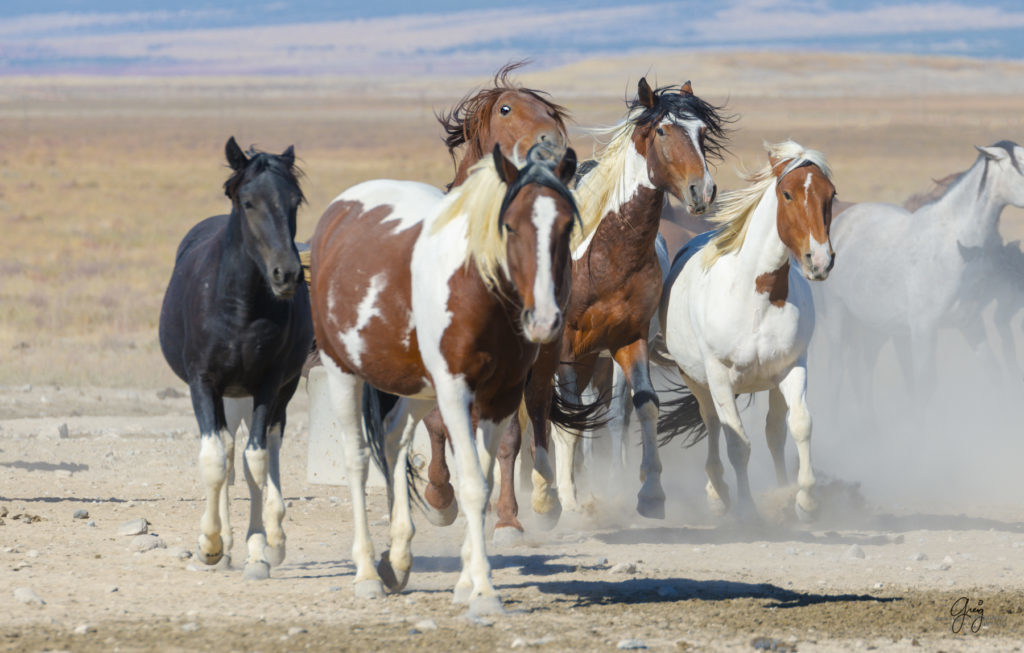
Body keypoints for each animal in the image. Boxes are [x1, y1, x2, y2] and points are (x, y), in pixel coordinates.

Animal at [156, 139, 311, 581]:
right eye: (248, 201)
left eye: (294, 200)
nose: (286, 274)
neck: (240, 307)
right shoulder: (202, 382)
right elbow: (213, 459)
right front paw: (210, 545)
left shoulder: (269, 385)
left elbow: (255, 462)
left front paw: (258, 551)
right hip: (226, 393)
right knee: (226, 451)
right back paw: (224, 545)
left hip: (279, 392)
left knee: (267, 447)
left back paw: (274, 536)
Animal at [307, 144, 581, 618]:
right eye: (510, 225)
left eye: (566, 225)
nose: (545, 320)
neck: (478, 288)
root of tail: (340, 210)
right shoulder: (455, 391)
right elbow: (470, 485)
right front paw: (484, 591)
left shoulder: (500, 397)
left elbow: (485, 482)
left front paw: (466, 582)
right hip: (344, 372)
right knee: (358, 460)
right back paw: (366, 575)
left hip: (414, 385)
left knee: (393, 441)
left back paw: (397, 560)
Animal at [659, 141, 835, 524]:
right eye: (787, 194)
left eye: (831, 195)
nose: (820, 261)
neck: (757, 296)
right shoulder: (719, 377)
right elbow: (737, 443)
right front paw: (746, 509)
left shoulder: (793, 367)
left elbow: (800, 425)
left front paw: (804, 500)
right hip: (698, 381)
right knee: (712, 424)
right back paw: (718, 493)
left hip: (770, 383)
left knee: (774, 432)